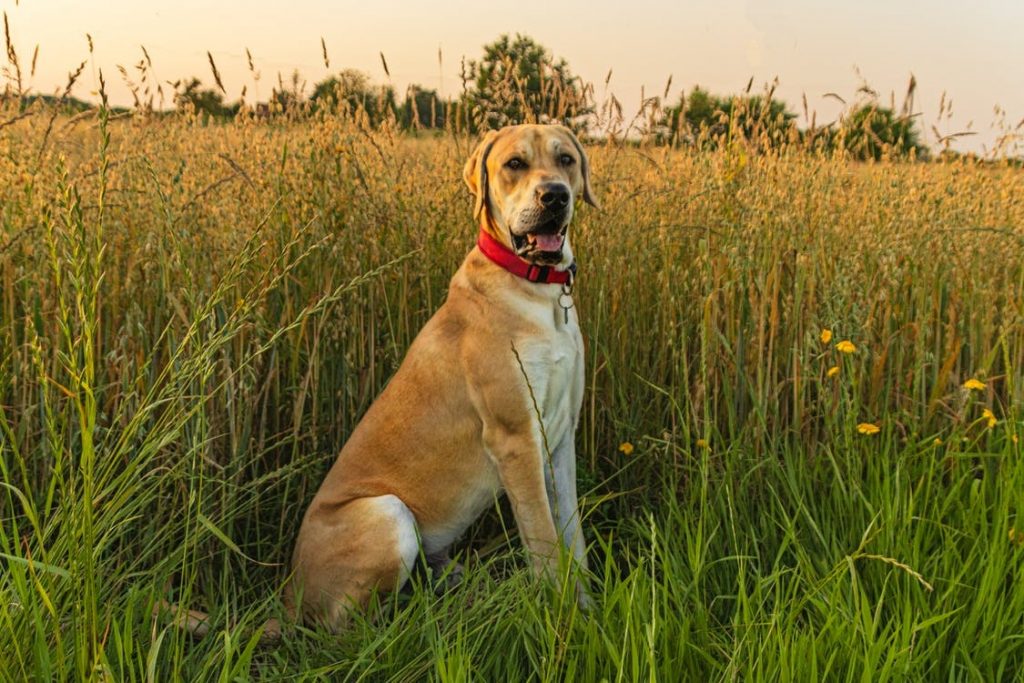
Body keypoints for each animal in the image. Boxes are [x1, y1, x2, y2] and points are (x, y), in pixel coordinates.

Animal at [159, 121, 598, 634]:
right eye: (515, 164)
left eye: (566, 159)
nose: (555, 195)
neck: (537, 291)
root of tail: (288, 598)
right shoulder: (515, 438)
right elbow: (544, 541)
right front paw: (563, 618)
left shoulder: (560, 437)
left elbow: (572, 535)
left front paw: (588, 608)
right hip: (389, 513)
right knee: (347, 630)